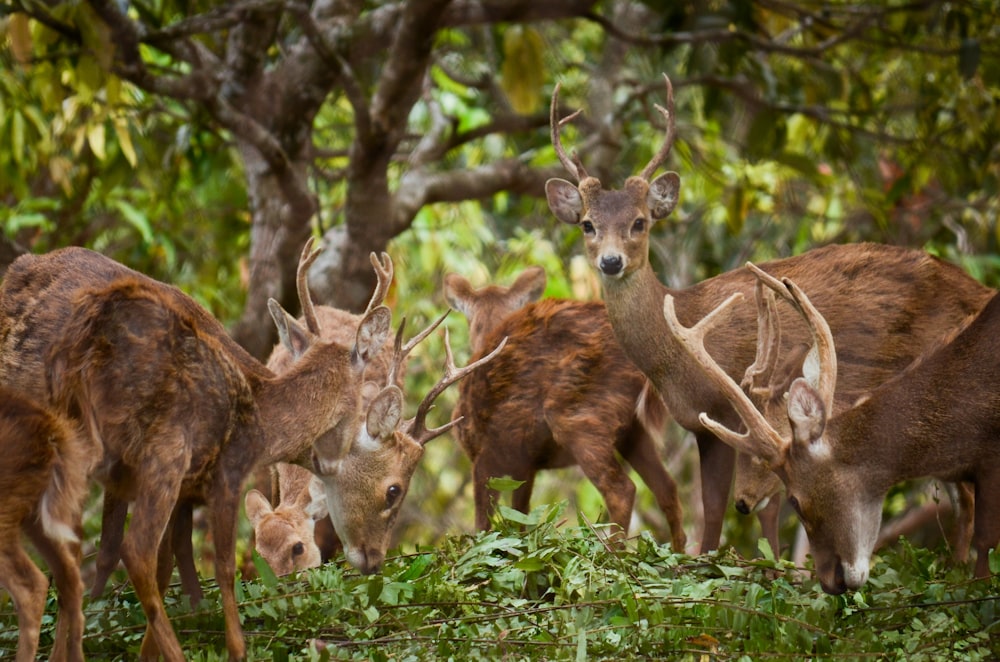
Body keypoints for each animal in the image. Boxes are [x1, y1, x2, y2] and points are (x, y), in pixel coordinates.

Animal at [446, 264, 688, 548]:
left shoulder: (483, 453)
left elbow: (483, 524)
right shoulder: (525, 464)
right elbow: (520, 518)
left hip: (578, 414)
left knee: (623, 490)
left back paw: (612, 551)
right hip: (632, 428)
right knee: (667, 487)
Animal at [544, 72, 996, 556]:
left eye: (640, 222)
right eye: (588, 224)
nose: (611, 262)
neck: (674, 356)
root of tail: (981, 288)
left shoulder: (728, 413)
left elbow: (719, 508)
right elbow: (760, 507)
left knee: (966, 493)